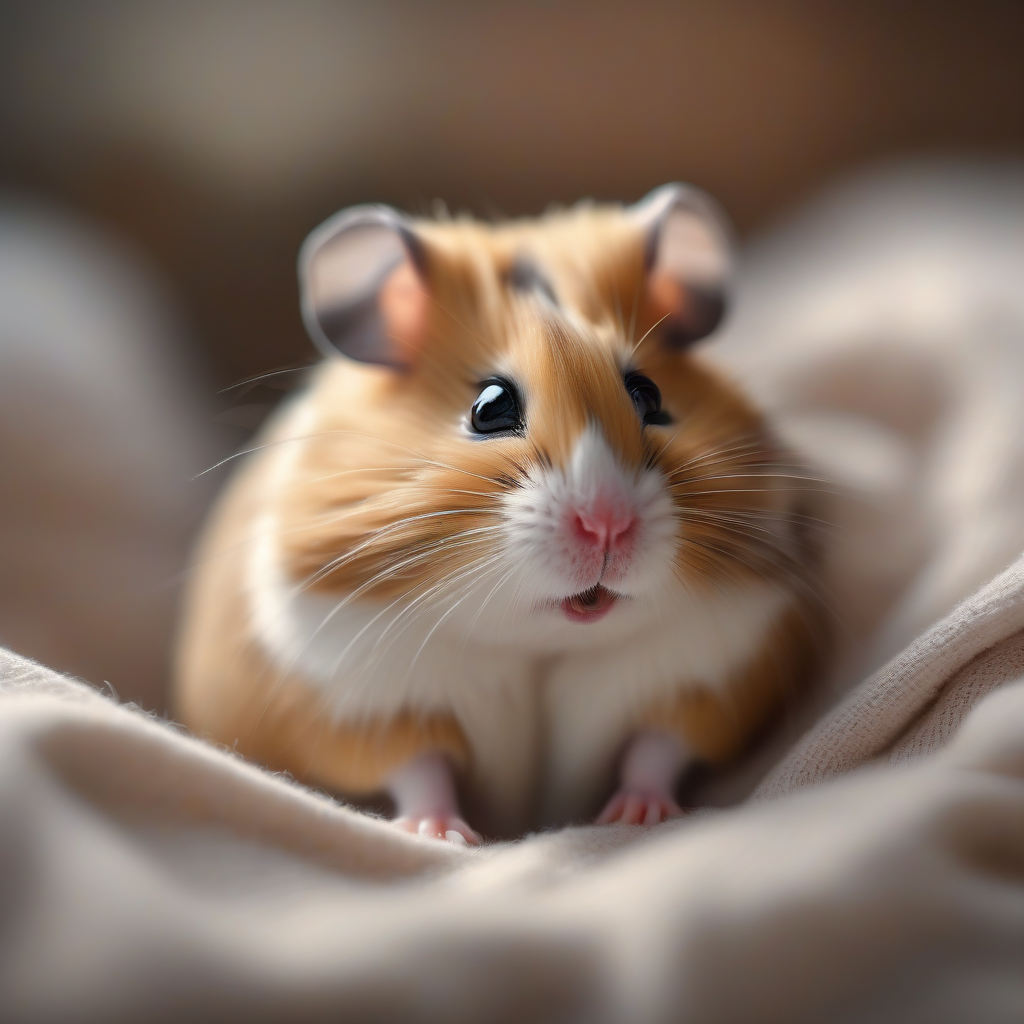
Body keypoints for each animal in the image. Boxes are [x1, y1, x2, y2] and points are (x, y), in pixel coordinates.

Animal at [174, 184, 820, 843]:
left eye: (650, 395)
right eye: (489, 408)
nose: (607, 523)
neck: (539, 644)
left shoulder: (706, 675)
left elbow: (656, 750)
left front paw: (639, 817)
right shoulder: (366, 702)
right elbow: (421, 769)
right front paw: (443, 834)